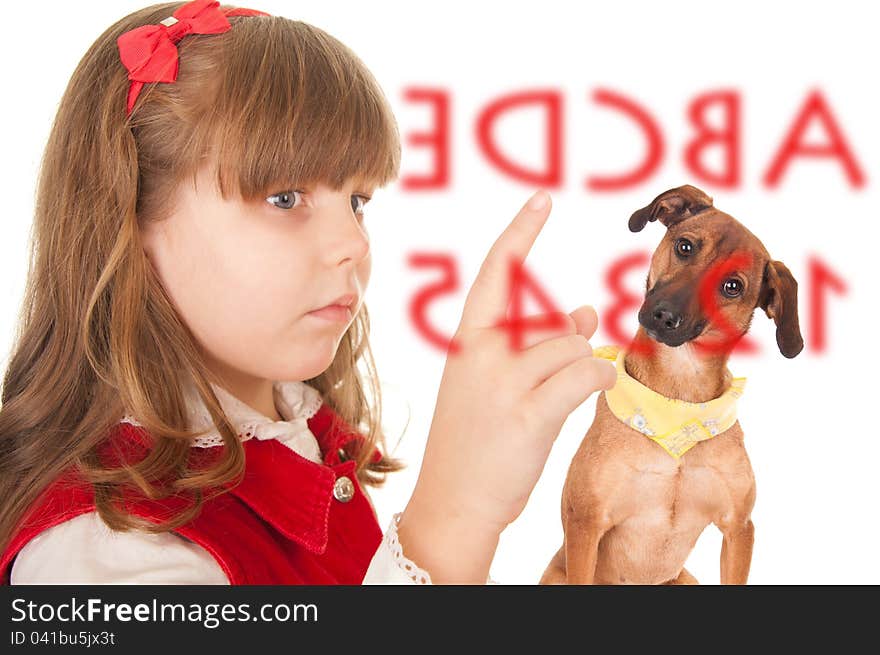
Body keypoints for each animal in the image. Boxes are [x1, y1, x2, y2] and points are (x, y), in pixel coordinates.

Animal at [540, 183, 800, 584]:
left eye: (732, 286)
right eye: (685, 246)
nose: (664, 315)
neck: (677, 400)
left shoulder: (738, 528)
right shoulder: (585, 523)